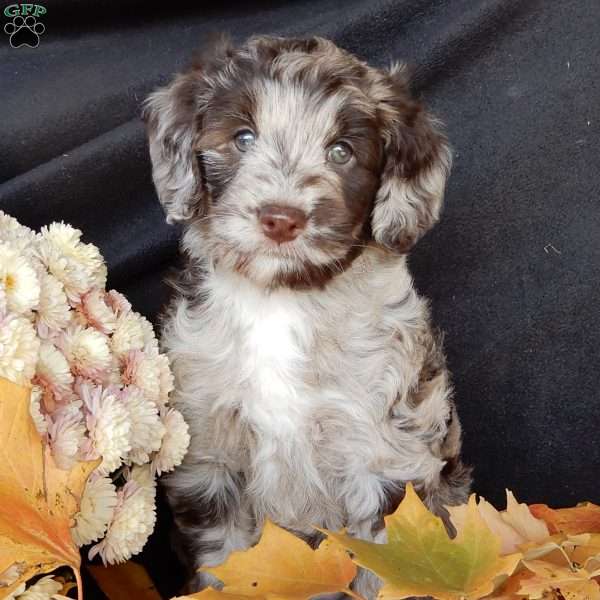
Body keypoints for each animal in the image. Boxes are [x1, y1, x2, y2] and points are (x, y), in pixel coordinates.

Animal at [143, 36, 472, 596]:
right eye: (243, 137)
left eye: (342, 152)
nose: (281, 218)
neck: (281, 300)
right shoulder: (211, 455)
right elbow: (223, 561)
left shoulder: (383, 455)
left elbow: (388, 567)